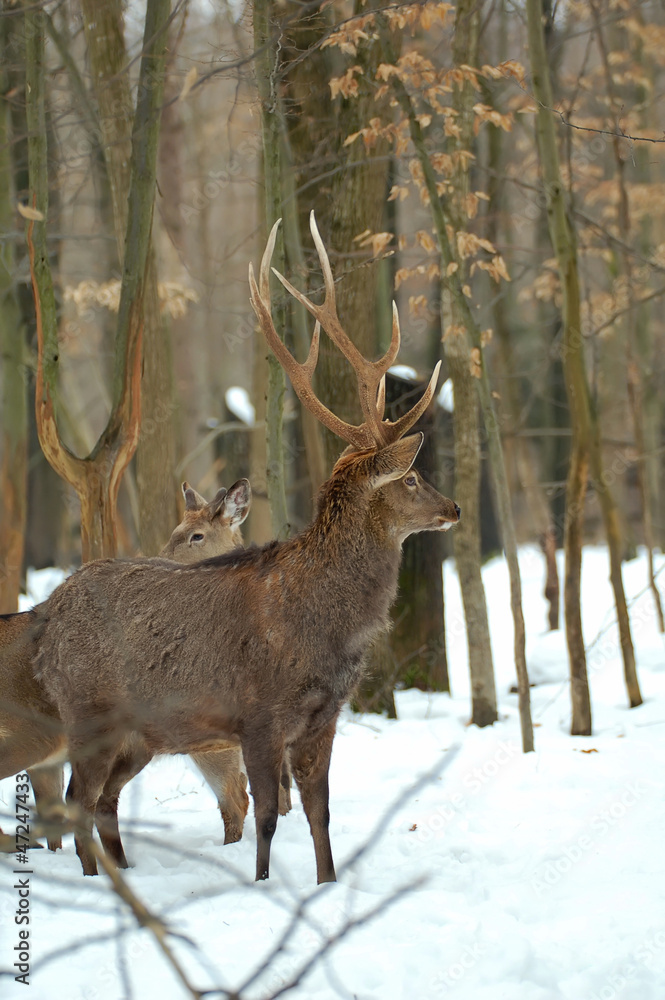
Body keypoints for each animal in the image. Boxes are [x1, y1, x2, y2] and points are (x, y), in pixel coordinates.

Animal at [31, 213, 460, 881]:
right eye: (411, 478)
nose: (455, 508)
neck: (327, 627)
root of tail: (46, 618)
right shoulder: (258, 715)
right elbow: (266, 817)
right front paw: (263, 884)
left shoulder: (323, 719)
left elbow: (318, 813)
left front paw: (326, 882)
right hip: (89, 713)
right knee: (78, 798)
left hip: (139, 735)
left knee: (102, 800)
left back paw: (124, 871)